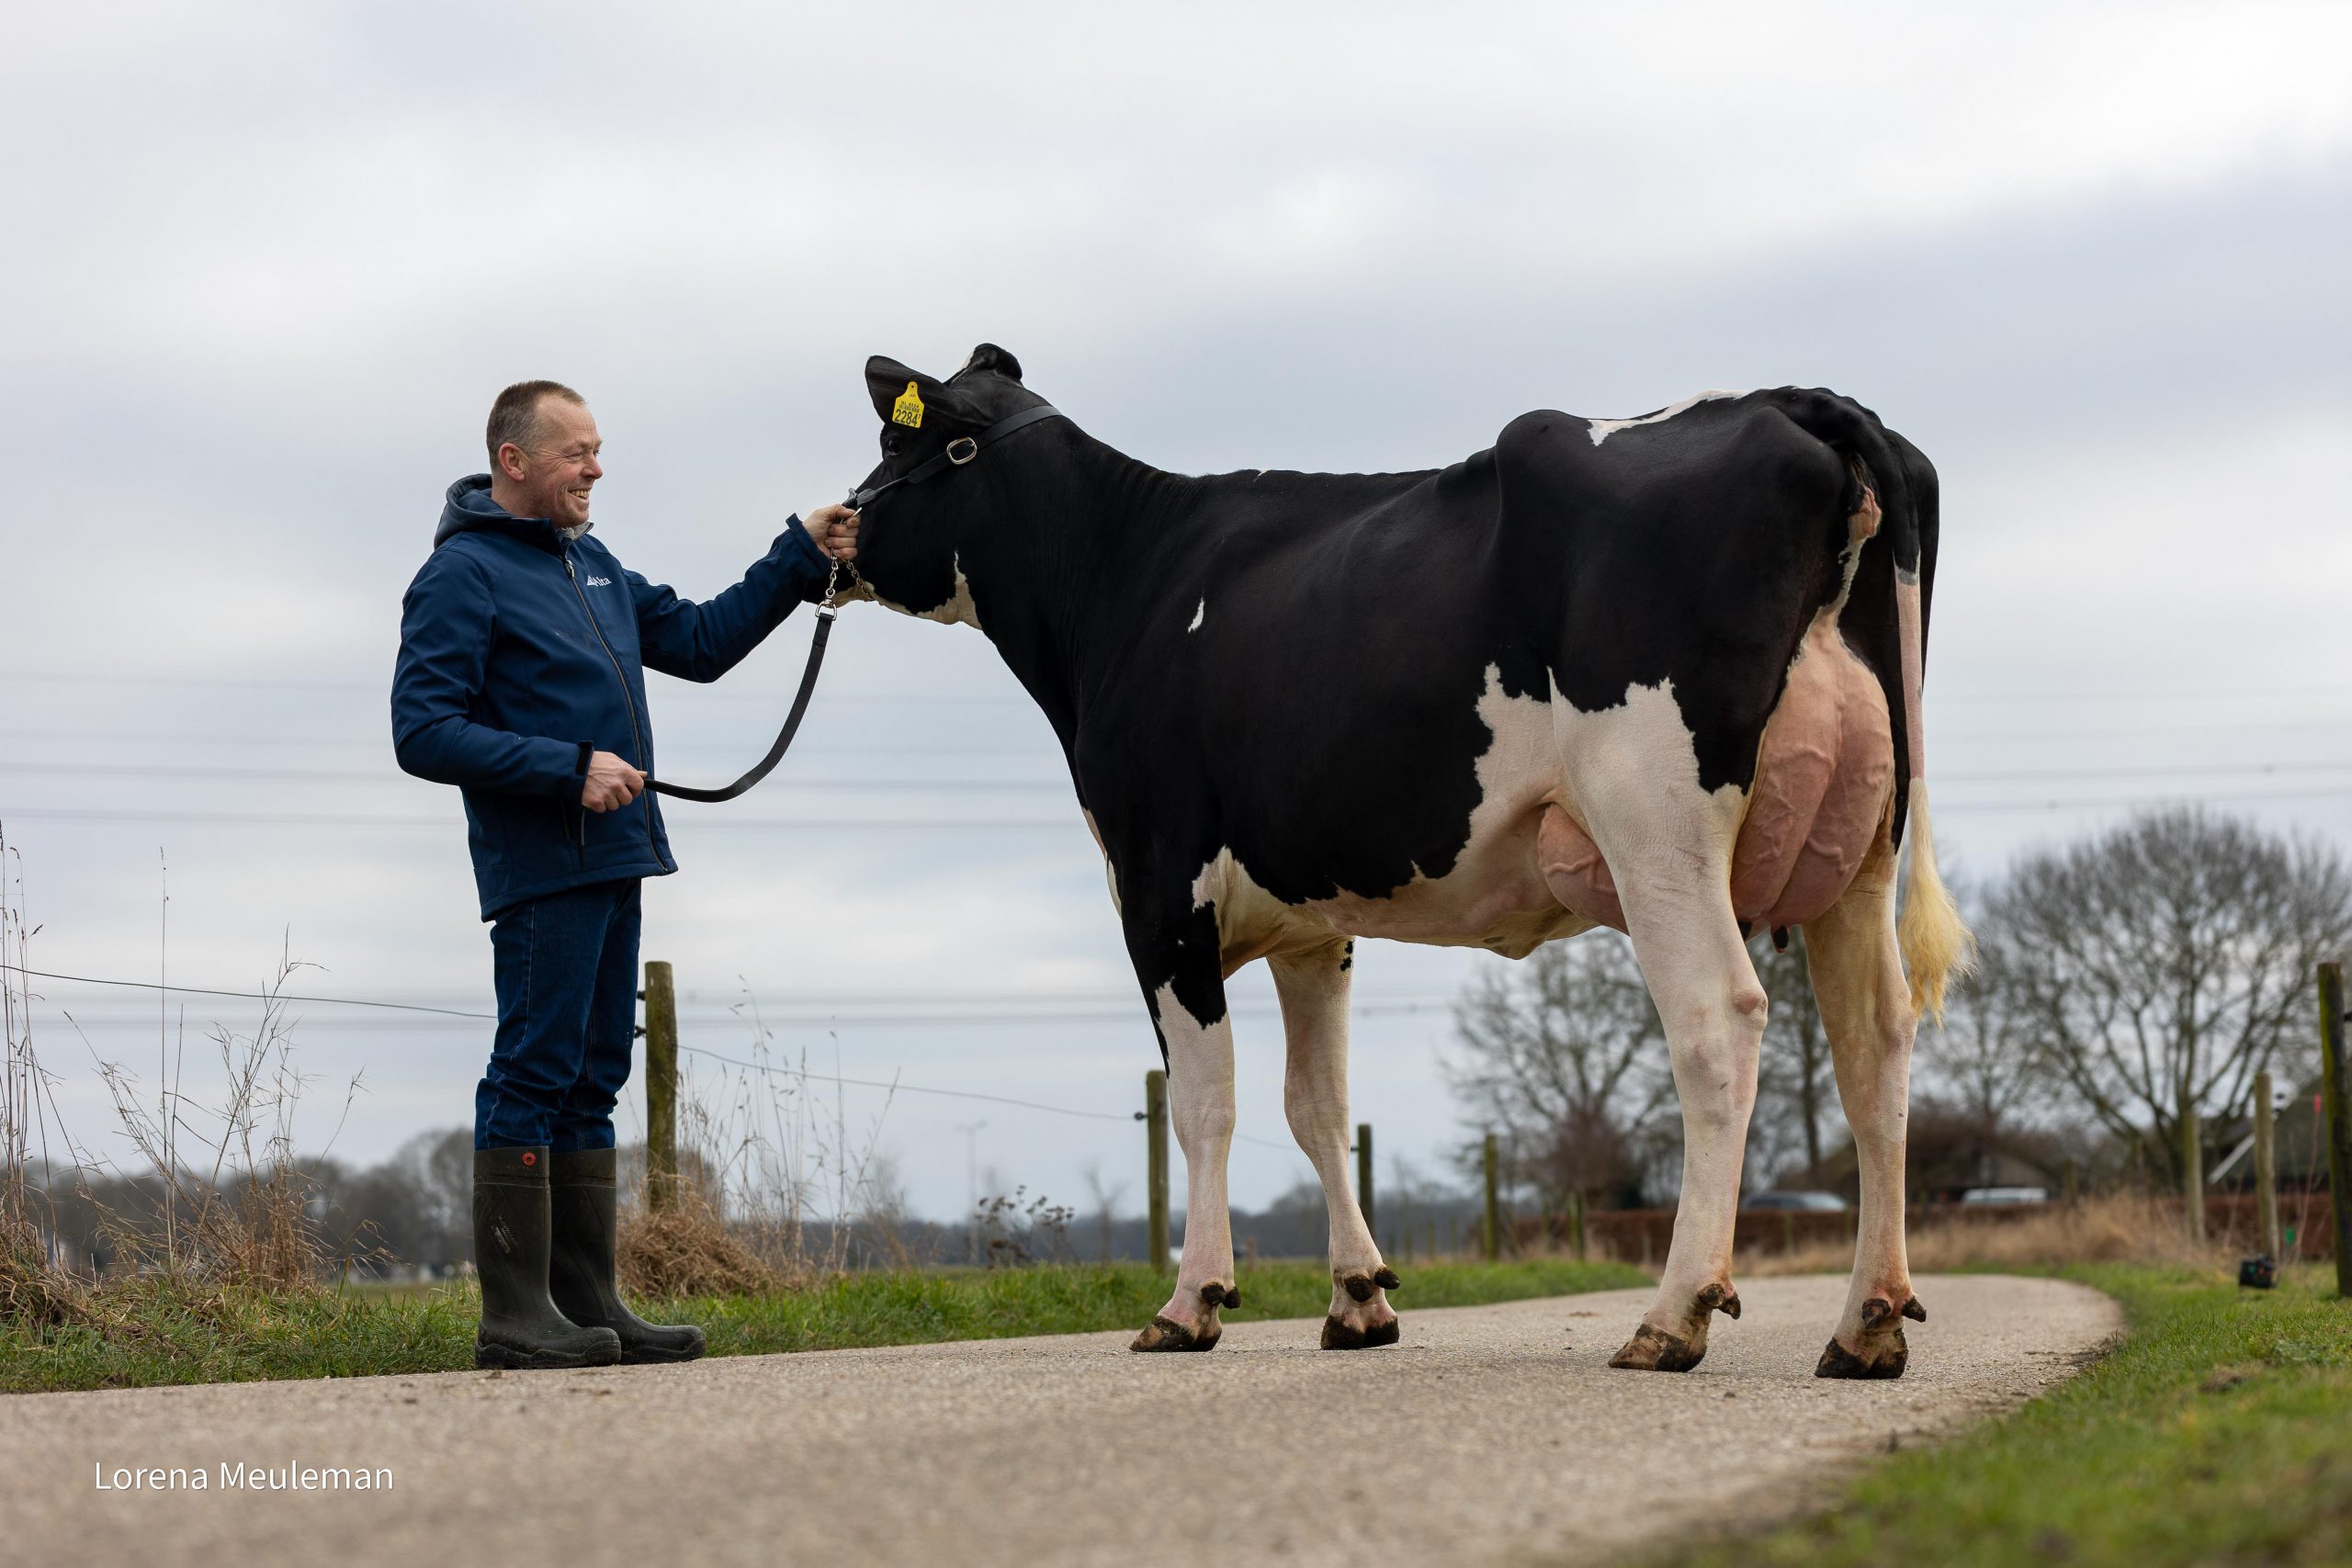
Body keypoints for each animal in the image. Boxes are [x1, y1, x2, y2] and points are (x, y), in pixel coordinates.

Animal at [841, 345, 1970, 1378]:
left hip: (1656, 820)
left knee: (1717, 1021)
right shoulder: (1313, 925)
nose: (835, 533)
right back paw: (1865, 1324)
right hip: (1864, 842)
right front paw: (1358, 1300)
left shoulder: (1159, 886)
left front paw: (1190, 1301)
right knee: (1874, 1039)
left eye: (896, 443)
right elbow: (1319, 1107)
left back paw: (1673, 1314)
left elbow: (1207, 1103)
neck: (1125, 581)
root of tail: (1795, 399)